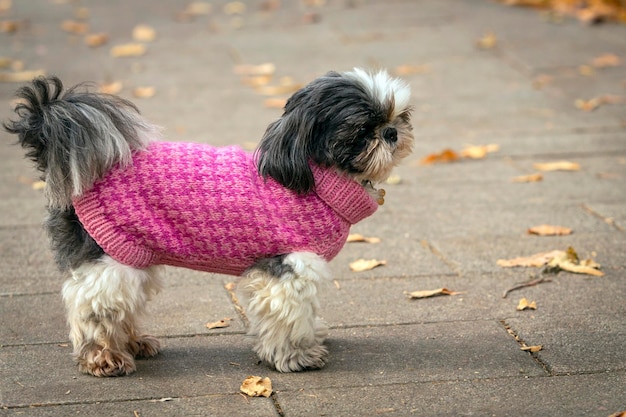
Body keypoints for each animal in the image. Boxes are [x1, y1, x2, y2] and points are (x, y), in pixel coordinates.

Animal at [6, 69, 414, 376]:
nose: (391, 132)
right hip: (108, 259)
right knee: (94, 307)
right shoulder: (287, 268)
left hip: (133, 257)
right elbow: (289, 316)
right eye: (362, 129)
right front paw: (296, 356)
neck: (312, 178)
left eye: (400, 115)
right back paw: (103, 356)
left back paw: (133, 344)